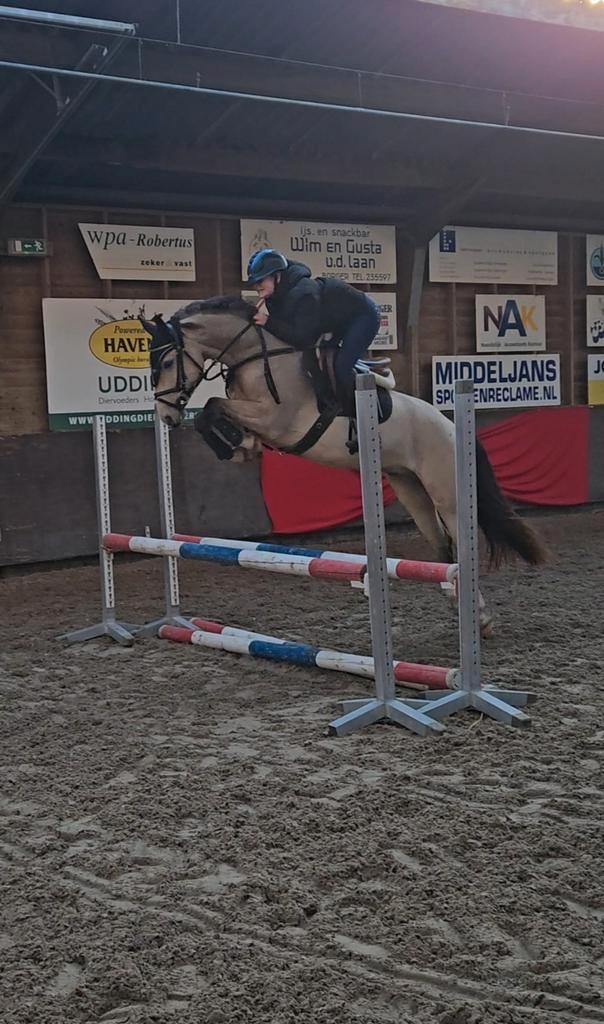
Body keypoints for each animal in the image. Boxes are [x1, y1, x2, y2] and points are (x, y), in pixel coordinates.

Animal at [143, 296, 546, 635]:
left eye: (167, 362)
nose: (165, 416)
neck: (258, 357)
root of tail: (451, 426)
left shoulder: (275, 420)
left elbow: (211, 407)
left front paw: (237, 445)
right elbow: (211, 413)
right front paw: (240, 446)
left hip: (446, 493)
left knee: (462, 548)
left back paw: (481, 618)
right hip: (411, 490)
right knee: (444, 549)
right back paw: (461, 606)